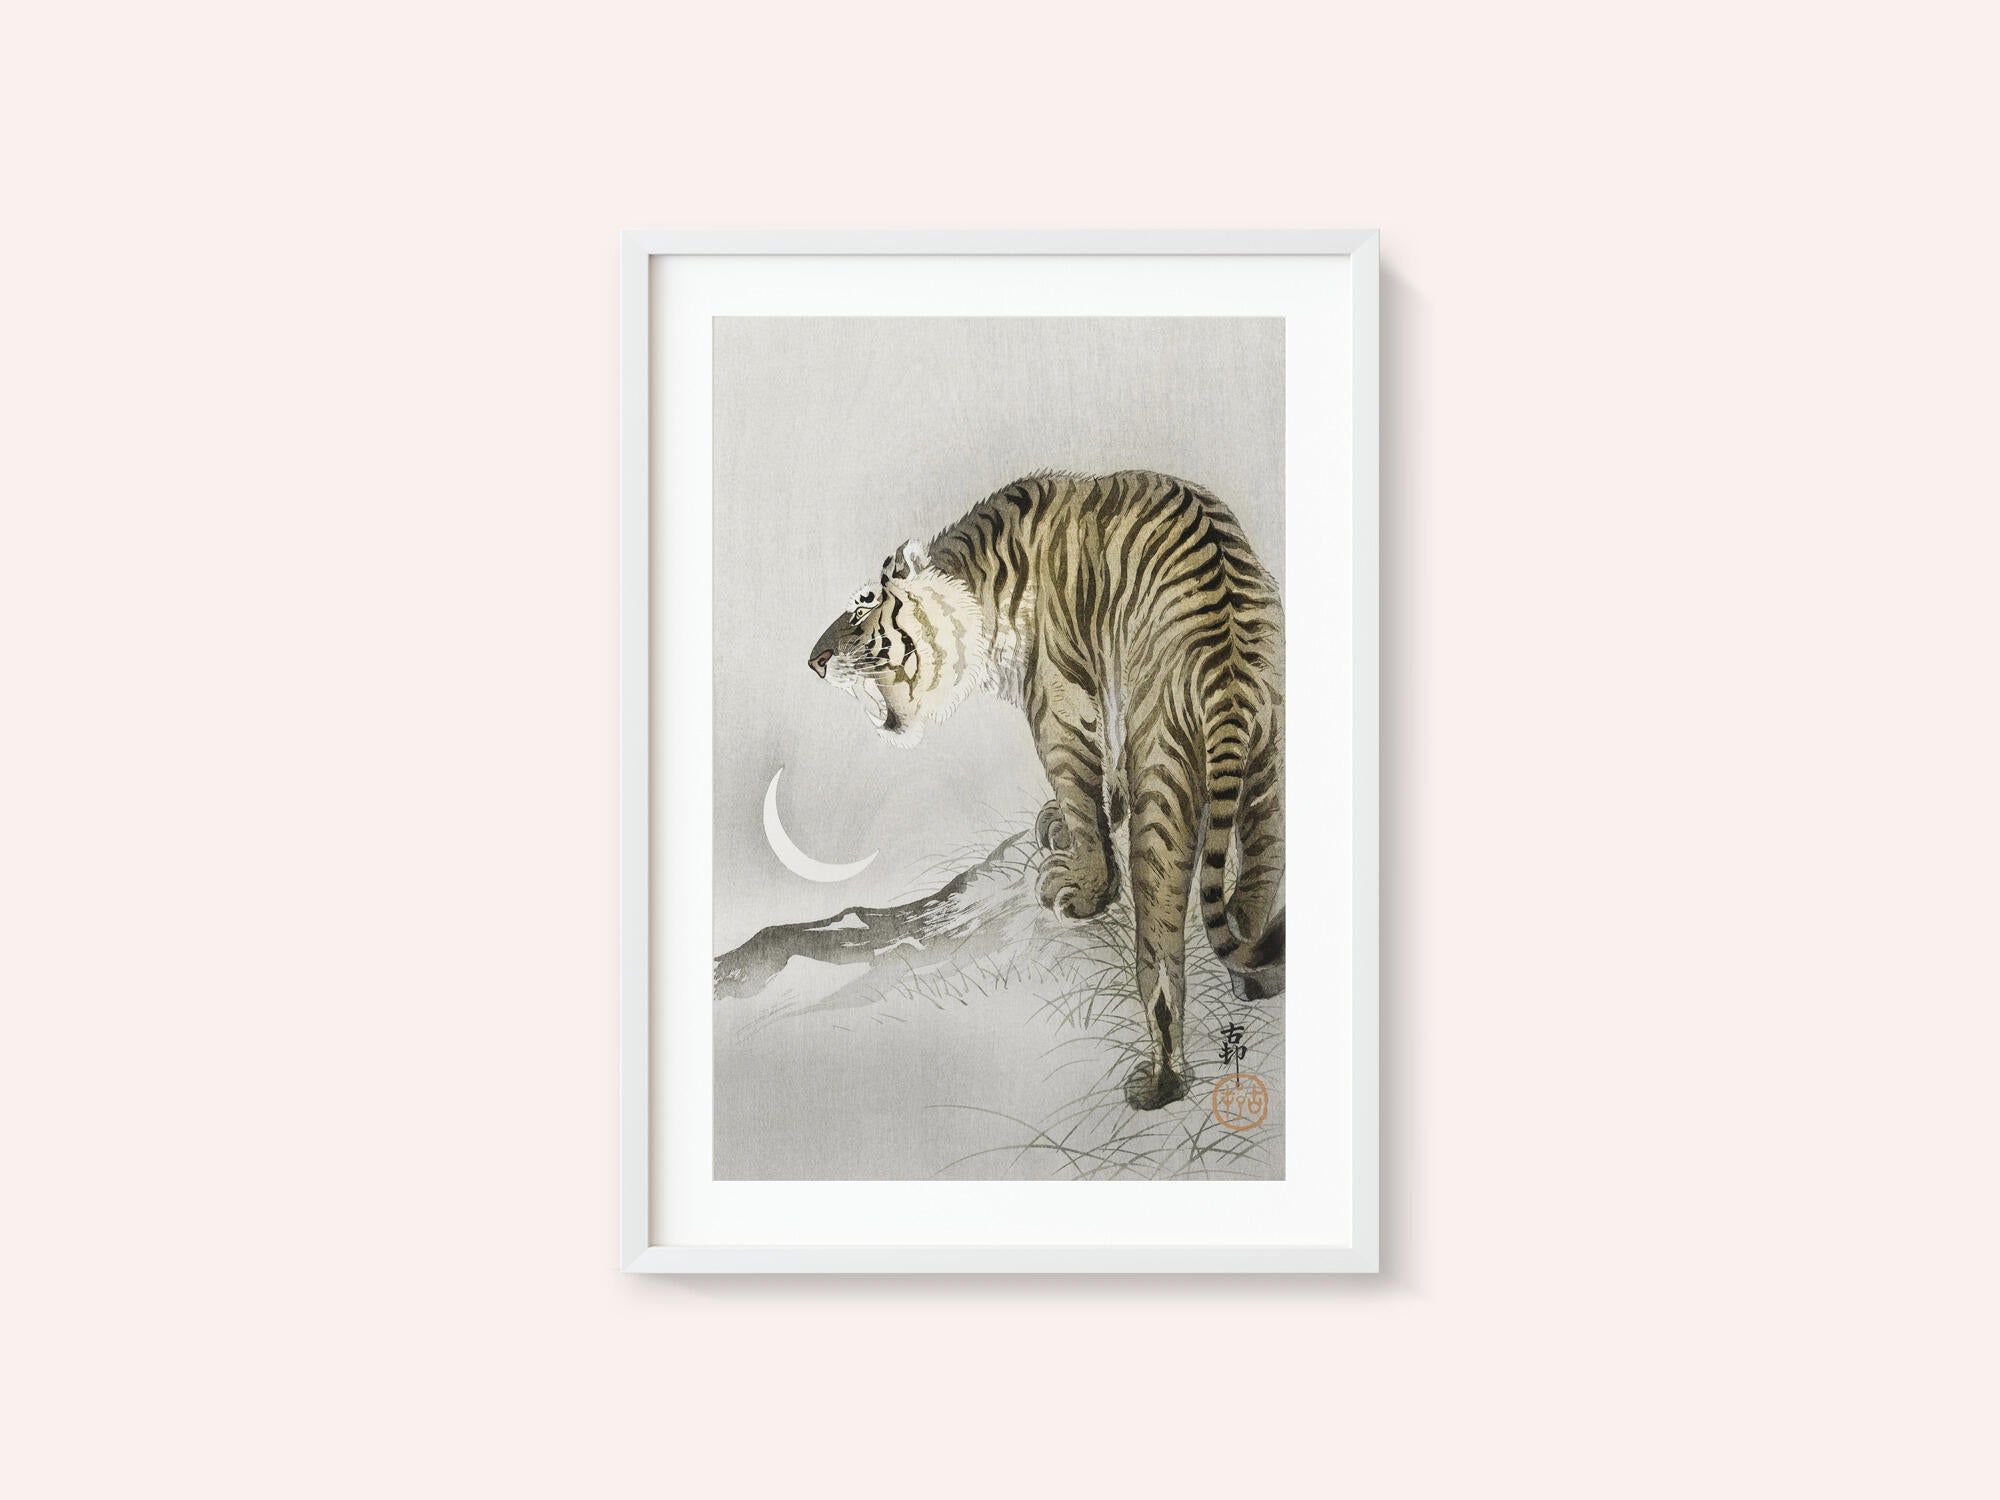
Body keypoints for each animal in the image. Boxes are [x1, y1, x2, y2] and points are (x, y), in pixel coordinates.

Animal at [807, 470, 1285, 1111]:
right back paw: (1258, 978)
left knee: (1161, 953)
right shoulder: (1107, 689)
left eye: (862, 608)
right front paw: (1073, 819)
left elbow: (1080, 788)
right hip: (1270, 769)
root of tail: (1229, 664)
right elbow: (1102, 778)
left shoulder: (1058, 701)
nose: (814, 661)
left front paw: (1083, 887)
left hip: (1165, 772)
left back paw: (1159, 1081)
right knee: (1258, 884)